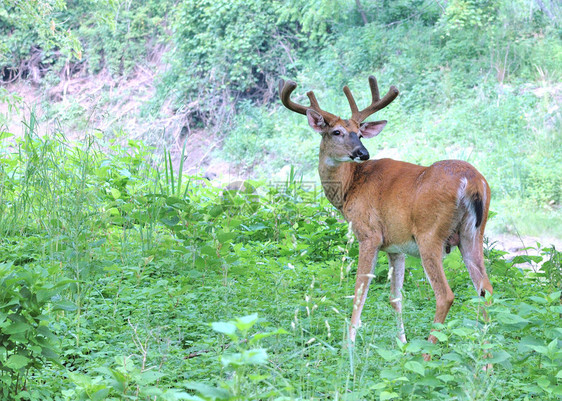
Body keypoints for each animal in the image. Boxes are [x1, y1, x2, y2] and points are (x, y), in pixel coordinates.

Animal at [278, 75, 492, 346]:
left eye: (359, 134)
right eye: (337, 132)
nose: (363, 153)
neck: (349, 188)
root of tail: (473, 182)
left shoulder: (369, 234)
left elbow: (360, 290)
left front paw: (349, 342)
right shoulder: (395, 247)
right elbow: (395, 297)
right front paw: (402, 342)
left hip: (429, 233)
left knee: (446, 295)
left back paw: (428, 350)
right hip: (473, 234)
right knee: (485, 289)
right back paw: (485, 351)